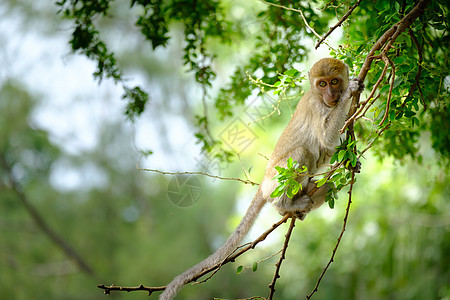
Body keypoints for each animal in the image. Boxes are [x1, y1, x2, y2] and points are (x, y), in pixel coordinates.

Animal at [160, 57, 364, 298]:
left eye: (334, 81)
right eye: (322, 84)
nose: (332, 94)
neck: (321, 99)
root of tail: (264, 184)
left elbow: (332, 148)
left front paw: (351, 163)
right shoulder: (317, 106)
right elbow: (326, 139)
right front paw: (349, 92)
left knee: (329, 183)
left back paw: (294, 210)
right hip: (277, 181)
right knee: (302, 152)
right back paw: (284, 205)